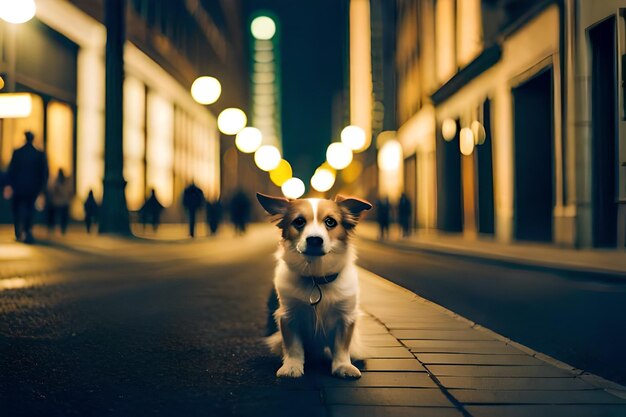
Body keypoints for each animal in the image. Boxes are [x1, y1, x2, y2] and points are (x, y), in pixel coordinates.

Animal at [255, 193, 370, 378]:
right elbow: (293, 346)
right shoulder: (288, 315)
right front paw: (292, 367)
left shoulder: (345, 317)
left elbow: (341, 346)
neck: (315, 278)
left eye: (330, 222)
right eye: (299, 221)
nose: (314, 240)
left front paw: (343, 366)